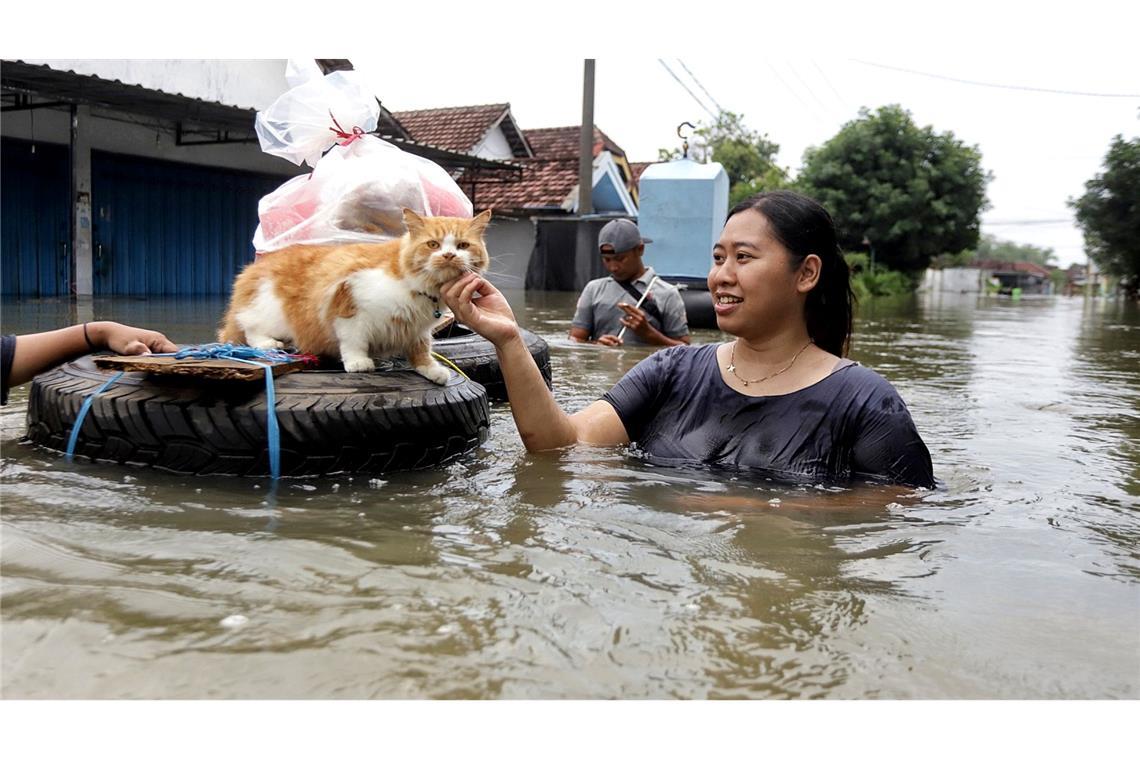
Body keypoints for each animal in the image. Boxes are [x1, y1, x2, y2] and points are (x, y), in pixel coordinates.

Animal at [220, 208, 492, 382]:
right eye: (433, 244)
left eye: (463, 246)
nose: (449, 255)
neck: (419, 287)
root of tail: (251, 270)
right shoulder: (350, 306)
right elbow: (354, 342)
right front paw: (359, 363)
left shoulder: (417, 330)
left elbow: (422, 351)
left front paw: (431, 370)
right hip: (270, 311)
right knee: (247, 328)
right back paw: (269, 343)